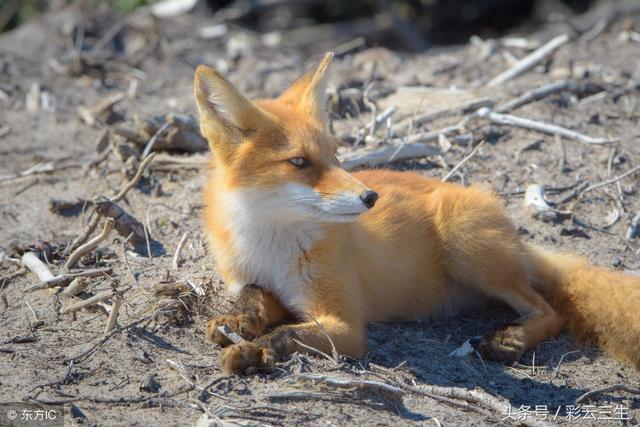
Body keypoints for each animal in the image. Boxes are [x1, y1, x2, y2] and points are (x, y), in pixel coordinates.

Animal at [195, 53, 640, 374]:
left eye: (336, 156)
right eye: (300, 162)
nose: (370, 197)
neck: (270, 244)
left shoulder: (345, 326)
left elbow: (284, 335)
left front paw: (253, 351)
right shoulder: (260, 283)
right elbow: (256, 298)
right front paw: (238, 324)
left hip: (468, 250)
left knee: (550, 311)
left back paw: (511, 339)